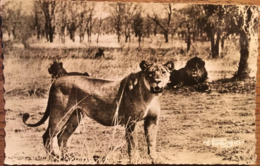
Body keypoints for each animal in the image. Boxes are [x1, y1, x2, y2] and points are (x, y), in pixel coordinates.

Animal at [22, 60, 173, 163]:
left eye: (163, 72)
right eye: (150, 73)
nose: (157, 81)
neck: (150, 95)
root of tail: (56, 80)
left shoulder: (152, 121)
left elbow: (152, 141)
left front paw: (155, 159)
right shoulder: (131, 122)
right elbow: (133, 144)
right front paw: (136, 160)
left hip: (75, 116)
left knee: (62, 137)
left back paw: (67, 157)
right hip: (60, 114)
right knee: (47, 136)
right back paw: (54, 157)